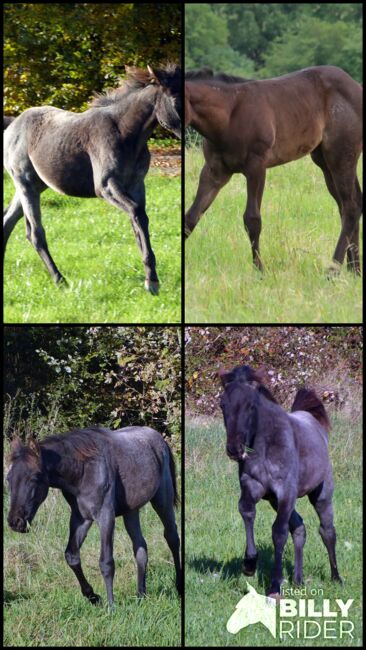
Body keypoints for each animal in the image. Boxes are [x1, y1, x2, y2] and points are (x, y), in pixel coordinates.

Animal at [4, 62, 182, 292]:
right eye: (175, 99)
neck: (125, 133)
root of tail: (11, 126)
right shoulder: (106, 186)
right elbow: (136, 213)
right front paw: (151, 280)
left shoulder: (136, 185)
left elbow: (139, 220)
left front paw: (151, 277)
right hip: (25, 184)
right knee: (35, 234)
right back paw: (59, 279)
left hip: (35, 186)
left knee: (7, 221)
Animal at [186, 62, 364, 270]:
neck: (229, 116)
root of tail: (356, 87)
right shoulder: (215, 171)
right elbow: (191, 216)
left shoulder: (256, 167)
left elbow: (252, 220)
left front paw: (259, 270)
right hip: (325, 161)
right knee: (349, 204)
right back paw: (354, 270)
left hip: (341, 156)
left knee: (350, 206)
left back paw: (333, 269)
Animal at [219, 362, 342, 596]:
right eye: (222, 405)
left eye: (251, 405)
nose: (234, 449)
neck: (267, 444)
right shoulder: (253, 486)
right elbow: (246, 511)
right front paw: (249, 563)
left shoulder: (286, 492)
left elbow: (278, 532)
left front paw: (275, 585)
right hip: (276, 501)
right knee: (300, 527)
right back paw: (298, 579)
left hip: (321, 494)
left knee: (327, 531)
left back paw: (336, 578)